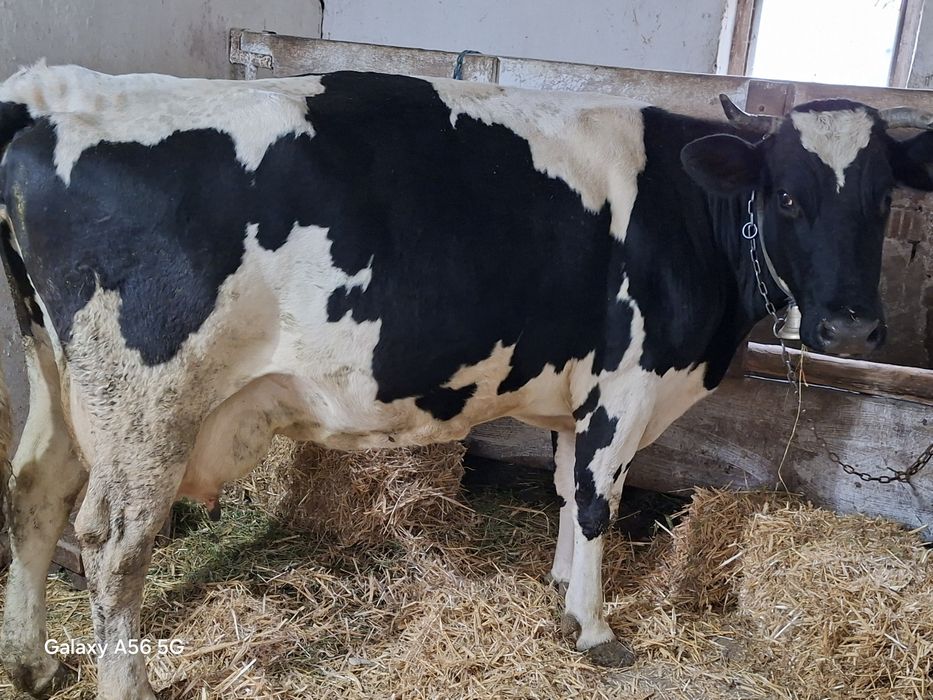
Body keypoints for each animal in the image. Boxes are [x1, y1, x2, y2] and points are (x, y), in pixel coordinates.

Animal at [0, 63, 930, 700]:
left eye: (883, 199)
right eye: (785, 196)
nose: (851, 327)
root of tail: (53, 96)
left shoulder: (579, 394)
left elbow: (566, 489)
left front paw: (561, 594)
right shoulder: (626, 385)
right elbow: (599, 500)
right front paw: (595, 628)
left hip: (59, 374)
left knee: (36, 489)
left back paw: (32, 661)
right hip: (144, 403)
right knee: (114, 541)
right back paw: (127, 683)